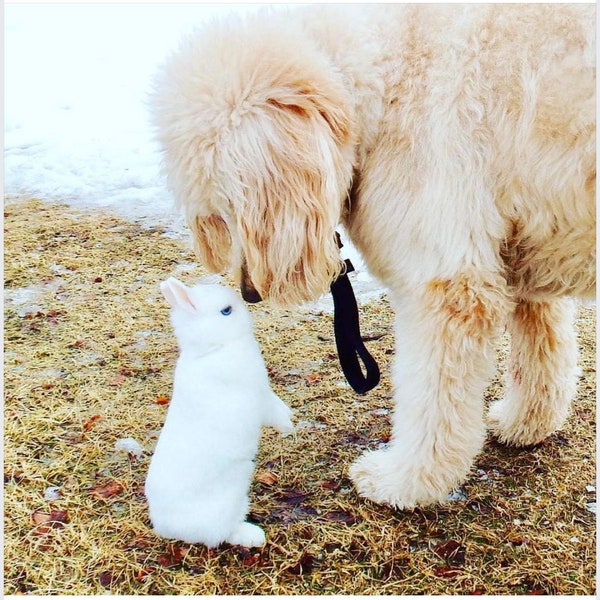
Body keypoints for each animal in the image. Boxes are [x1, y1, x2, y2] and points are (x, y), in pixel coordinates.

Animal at [146, 276, 294, 548]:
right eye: (226, 311)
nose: (249, 311)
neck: (214, 349)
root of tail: (165, 527)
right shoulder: (259, 394)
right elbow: (273, 409)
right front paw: (289, 425)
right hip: (227, 505)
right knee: (223, 533)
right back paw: (253, 536)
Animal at [151, 4, 596, 508]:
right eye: (217, 216)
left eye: (230, 209)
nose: (249, 293)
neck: (385, 74)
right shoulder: (521, 242)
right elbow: (541, 348)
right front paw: (525, 424)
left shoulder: (444, 285)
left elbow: (430, 396)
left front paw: (404, 482)